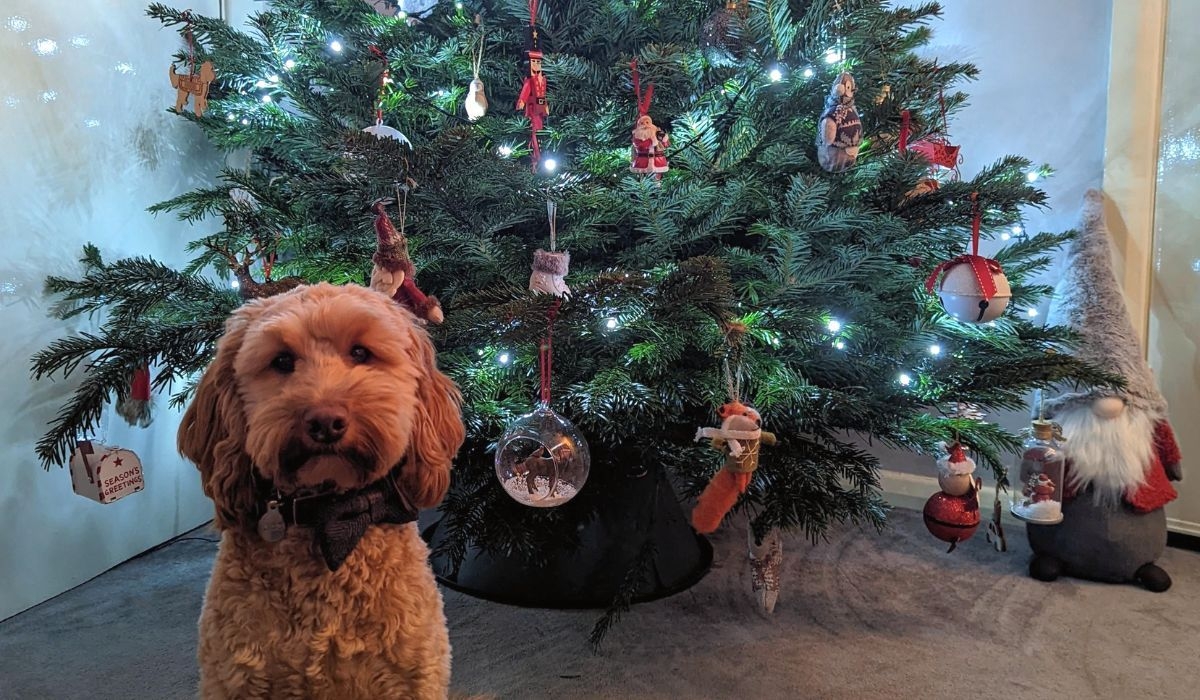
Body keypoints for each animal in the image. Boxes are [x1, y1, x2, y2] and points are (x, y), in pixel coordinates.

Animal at [180, 283, 465, 700]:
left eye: (361, 353)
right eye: (282, 360)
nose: (325, 421)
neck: (330, 513)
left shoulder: (415, 678)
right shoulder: (232, 678)